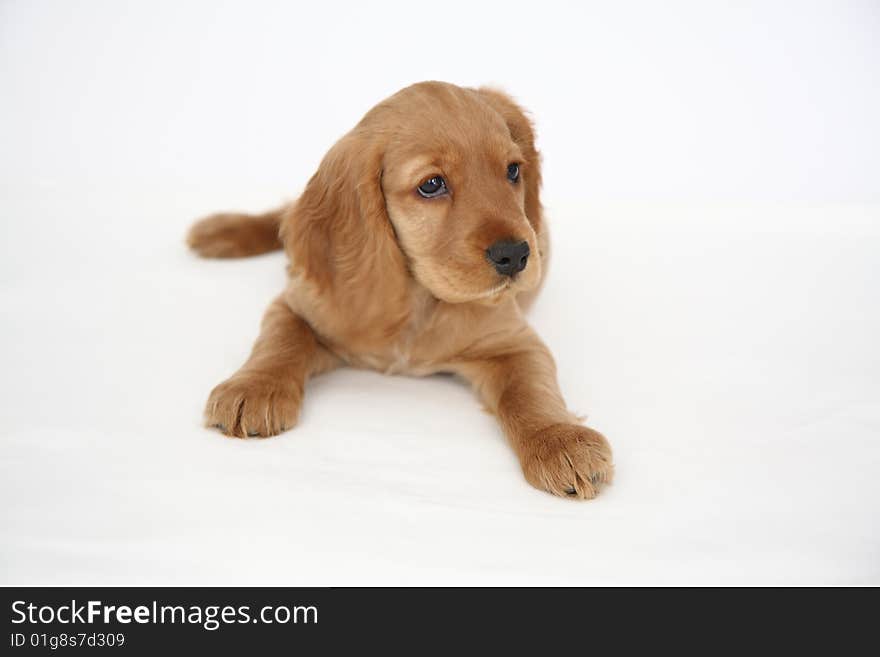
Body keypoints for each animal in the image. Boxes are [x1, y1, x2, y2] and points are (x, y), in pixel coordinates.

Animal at [186, 80, 612, 498]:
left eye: (512, 171)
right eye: (432, 185)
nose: (516, 255)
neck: (419, 301)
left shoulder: (514, 341)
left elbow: (529, 390)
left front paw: (560, 440)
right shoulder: (298, 305)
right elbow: (280, 341)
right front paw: (254, 387)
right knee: (286, 215)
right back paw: (222, 231)